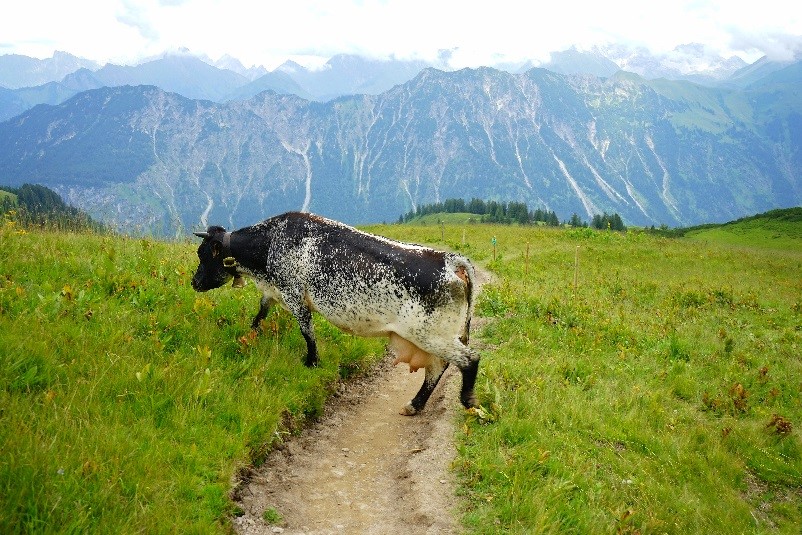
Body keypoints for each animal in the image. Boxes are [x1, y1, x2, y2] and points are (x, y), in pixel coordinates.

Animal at [192, 211, 482, 416]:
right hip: (432, 335)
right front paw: (248, 336)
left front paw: (311, 362)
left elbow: (307, 332)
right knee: (438, 366)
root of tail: (449, 260)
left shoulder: (295, 296)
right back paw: (415, 405)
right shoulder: (273, 292)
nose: (194, 283)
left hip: (431, 334)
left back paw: (466, 400)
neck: (271, 242)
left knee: (467, 359)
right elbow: (259, 315)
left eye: (203, 254)